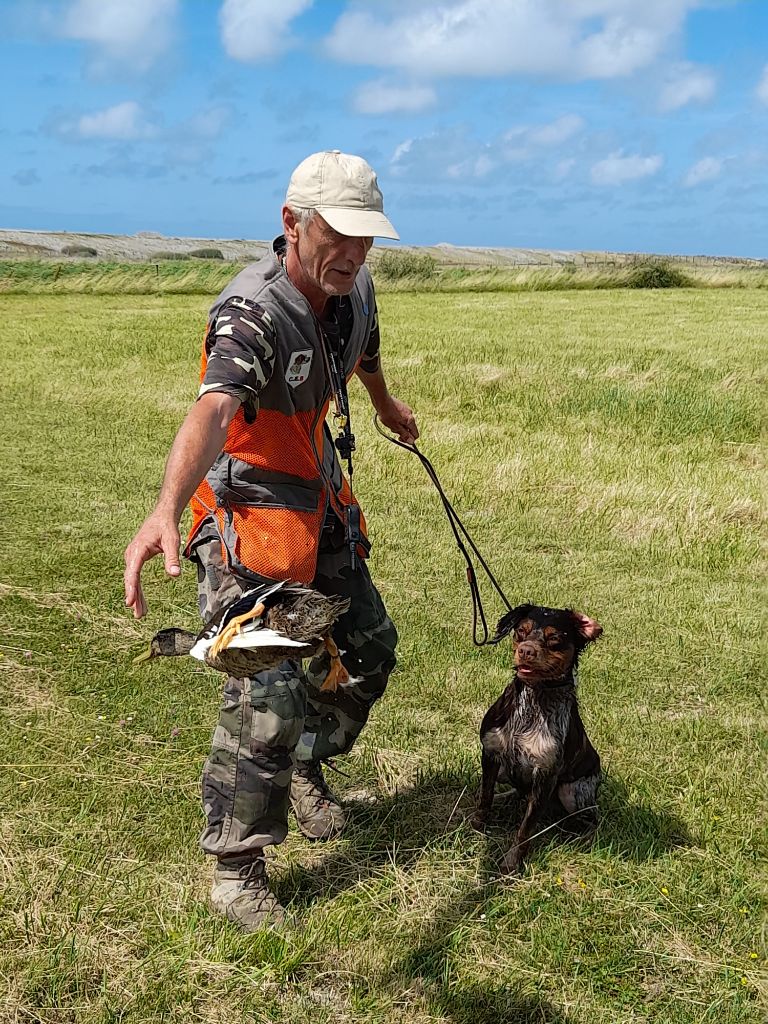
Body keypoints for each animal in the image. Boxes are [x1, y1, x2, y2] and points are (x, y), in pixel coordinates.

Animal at [473, 602, 606, 876]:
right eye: (521, 631)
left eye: (554, 637)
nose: (526, 650)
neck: (533, 701)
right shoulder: (491, 752)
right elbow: (485, 796)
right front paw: (478, 823)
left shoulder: (546, 775)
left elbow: (525, 829)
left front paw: (511, 863)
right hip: (506, 772)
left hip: (572, 792)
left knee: (593, 819)